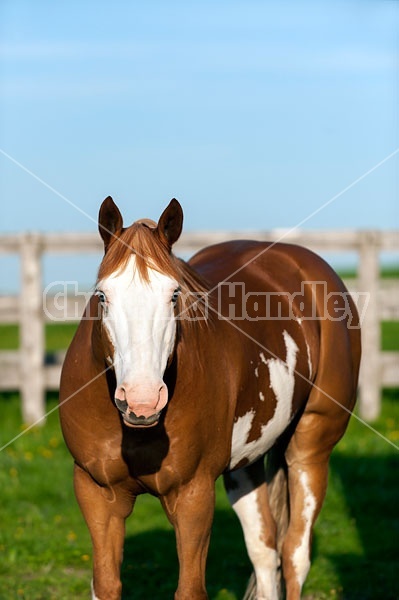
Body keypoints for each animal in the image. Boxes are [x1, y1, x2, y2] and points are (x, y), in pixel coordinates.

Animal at [59, 197, 362, 600]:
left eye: (174, 295)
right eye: (103, 296)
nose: (142, 399)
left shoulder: (193, 496)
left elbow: (190, 588)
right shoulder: (97, 495)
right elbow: (106, 584)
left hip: (310, 449)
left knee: (294, 554)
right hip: (245, 463)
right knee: (264, 550)